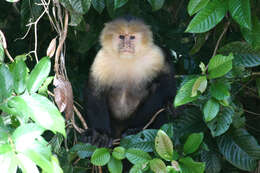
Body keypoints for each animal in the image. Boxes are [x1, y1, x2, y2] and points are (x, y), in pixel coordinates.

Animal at [83, 16, 177, 147]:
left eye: (132, 37)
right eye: (122, 37)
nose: (126, 45)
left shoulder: (155, 55)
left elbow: (168, 84)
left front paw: (135, 128)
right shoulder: (101, 59)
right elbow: (95, 93)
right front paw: (101, 134)